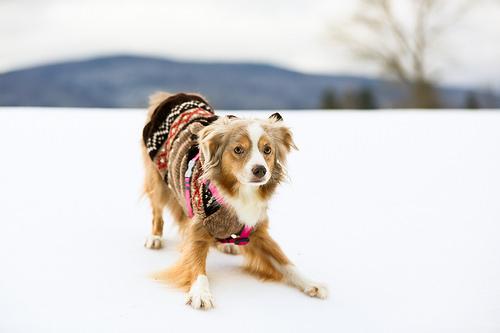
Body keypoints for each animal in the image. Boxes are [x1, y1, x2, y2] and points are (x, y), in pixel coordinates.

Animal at [142, 91, 328, 308]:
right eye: (238, 150)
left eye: (267, 150)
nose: (260, 170)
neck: (241, 192)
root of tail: (174, 95)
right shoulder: (199, 225)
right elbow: (195, 262)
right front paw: (200, 292)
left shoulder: (256, 229)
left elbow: (286, 262)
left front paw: (310, 282)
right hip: (157, 180)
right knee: (157, 211)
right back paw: (155, 237)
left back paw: (227, 243)